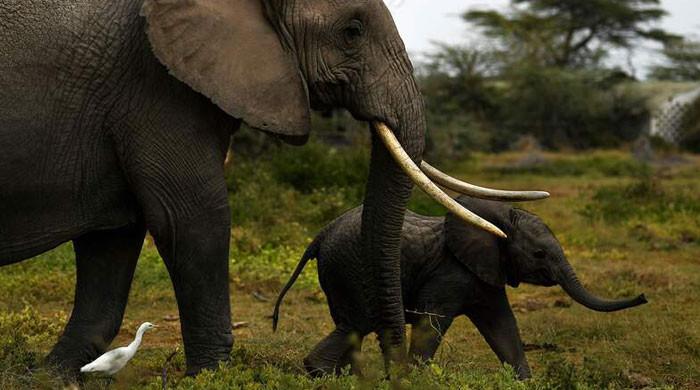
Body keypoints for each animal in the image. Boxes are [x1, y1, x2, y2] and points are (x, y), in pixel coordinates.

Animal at [0, 0, 548, 378]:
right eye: (351, 32)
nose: (397, 369)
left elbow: (113, 237)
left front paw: (55, 377)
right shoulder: (153, 84)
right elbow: (192, 218)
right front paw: (212, 376)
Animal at [272, 197, 644, 380]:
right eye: (539, 254)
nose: (643, 297)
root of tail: (321, 234)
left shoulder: (485, 273)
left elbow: (502, 326)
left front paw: (525, 382)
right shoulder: (450, 273)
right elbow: (432, 324)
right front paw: (415, 380)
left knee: (350, 327)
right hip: (350, 268)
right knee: (356, 324)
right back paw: (324, 375)